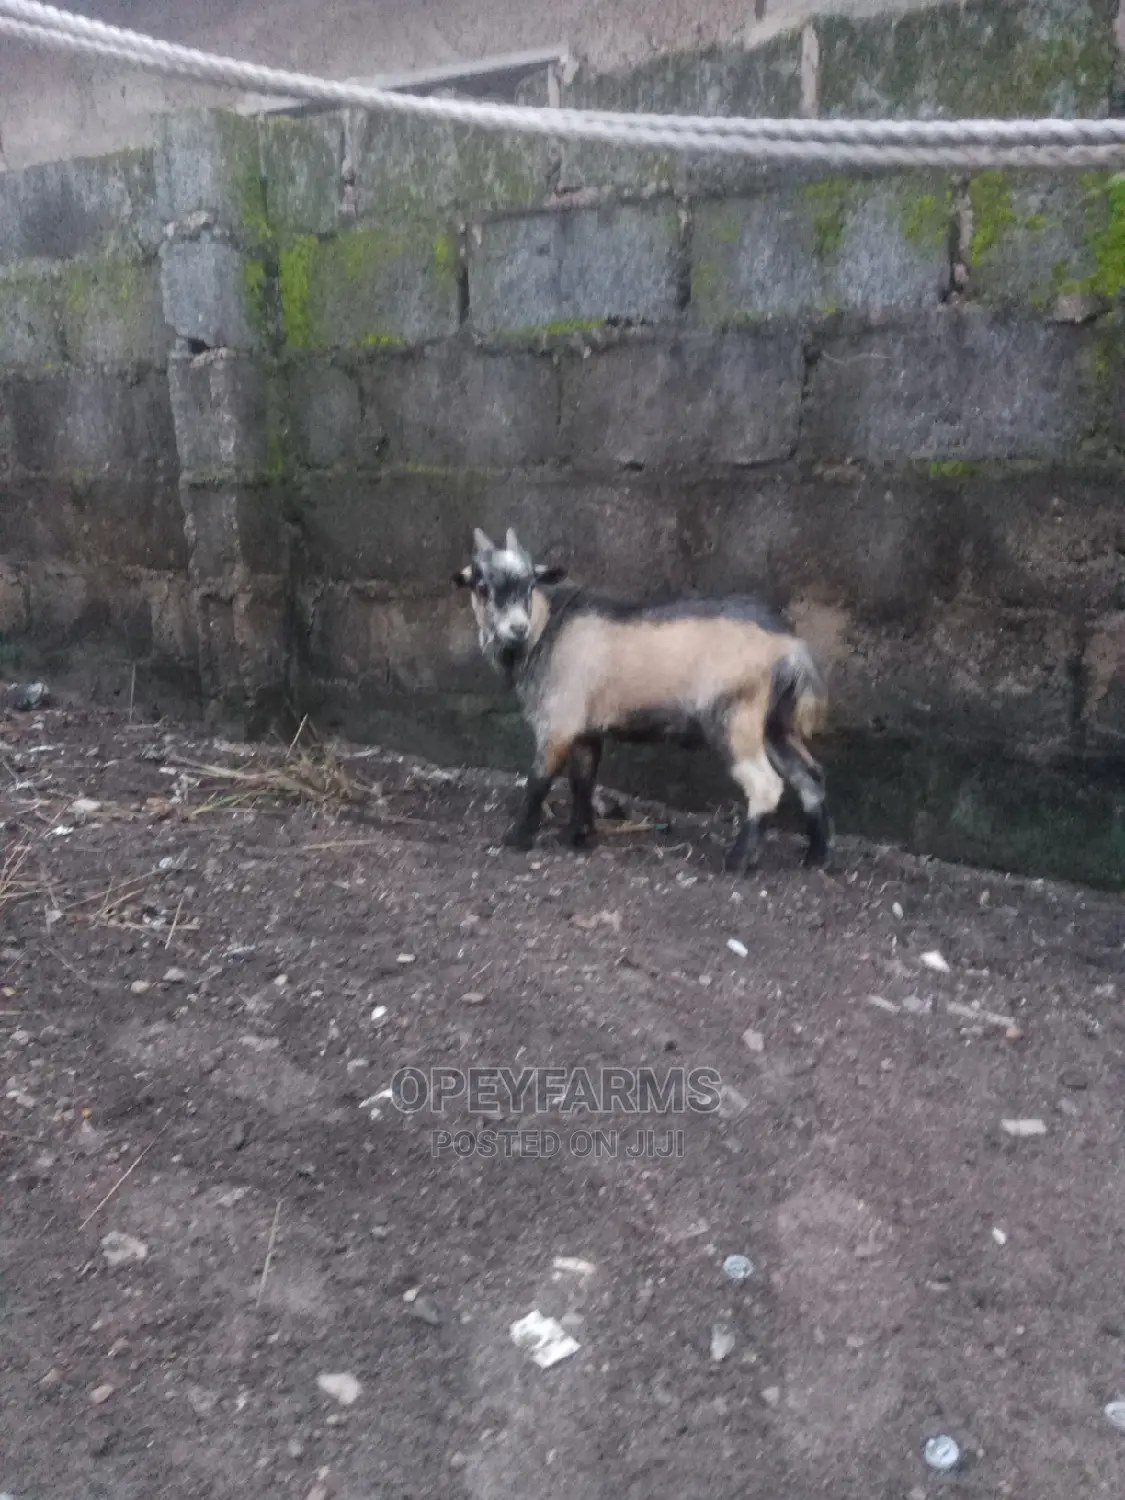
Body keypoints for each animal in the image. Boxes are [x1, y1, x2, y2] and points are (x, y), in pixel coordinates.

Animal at [453, 527, 832, 872]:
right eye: (482, 586)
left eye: (531, 584)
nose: (516, 628)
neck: (545, 630)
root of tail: (791, 646)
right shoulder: (586, 727)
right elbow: (582, 780)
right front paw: (578, 835)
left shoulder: (558, 722)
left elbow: (538, 781)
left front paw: (516, 839)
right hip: (776, 723)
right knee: (811, 778)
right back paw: (815, 858)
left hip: (735, 716)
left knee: (765, 784)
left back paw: (737, 862)